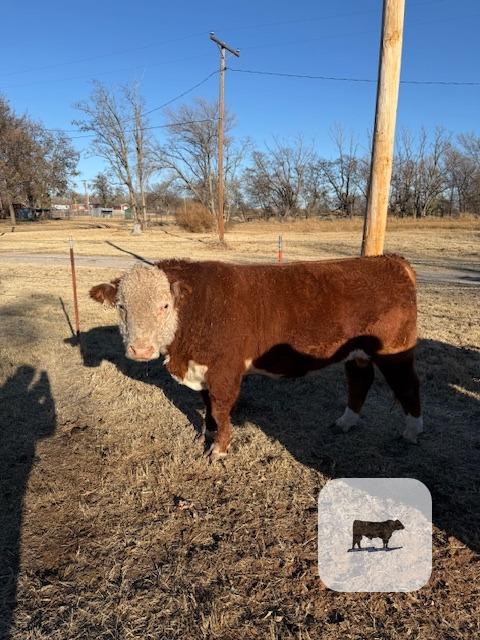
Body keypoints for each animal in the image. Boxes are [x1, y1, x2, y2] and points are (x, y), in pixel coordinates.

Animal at [89, 255, 422, 462]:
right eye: (121, 306)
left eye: (165, 305)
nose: (141, 350)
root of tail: (391, 260)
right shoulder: (204, 370)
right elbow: (208, 407)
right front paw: (208, 434)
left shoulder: (225, 370)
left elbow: (221, 408)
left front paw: (219, 449)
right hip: (357, 352)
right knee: (360, 379)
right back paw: (346, 421)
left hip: (395, 350)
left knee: (407, 385)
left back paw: (412, 432)